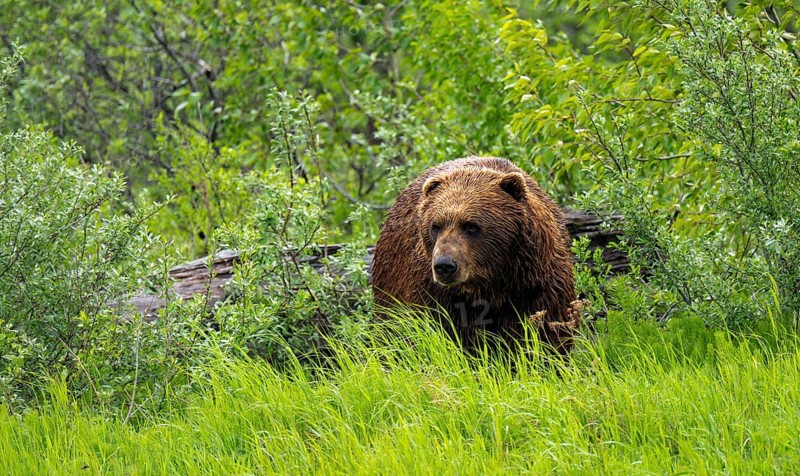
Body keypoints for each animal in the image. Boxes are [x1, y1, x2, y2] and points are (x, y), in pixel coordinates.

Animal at [372, 156, 579, 353]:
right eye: (435, 226)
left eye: (471, 226)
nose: (445, 266)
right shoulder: (434, 294)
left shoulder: (536, 283)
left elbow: (546, 331)